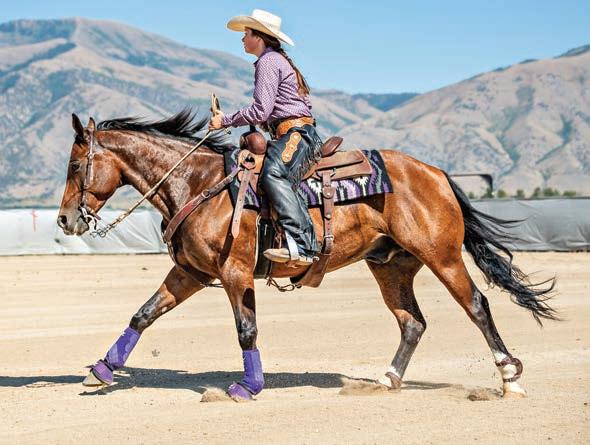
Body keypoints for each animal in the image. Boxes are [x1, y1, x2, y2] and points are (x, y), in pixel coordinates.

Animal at [57, 110, 556, 400]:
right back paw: (387, 380)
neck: (199, 184)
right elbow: (144, 314)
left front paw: (248, 387)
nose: (64, 220)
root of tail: (434, 173)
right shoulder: (191, 273)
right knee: (412, 322)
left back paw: (510, 379)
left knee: (477, 305)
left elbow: (246, 330)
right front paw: (101, 370)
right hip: (391, 266)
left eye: (76, 165)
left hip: (443, 256)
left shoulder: (235, 272)